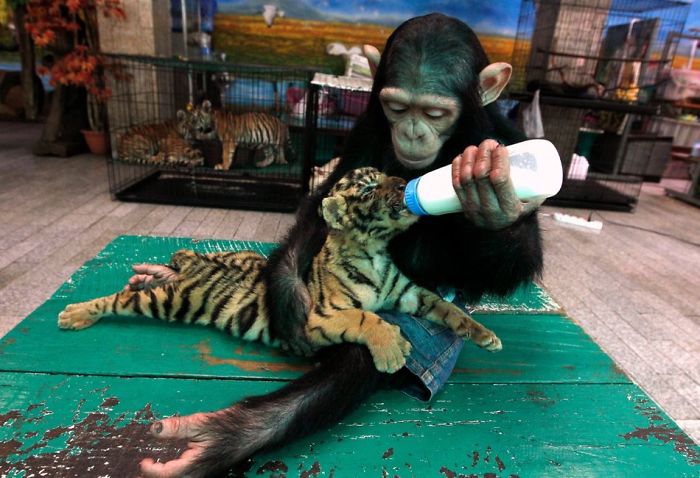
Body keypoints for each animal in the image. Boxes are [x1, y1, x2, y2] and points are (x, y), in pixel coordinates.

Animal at [57, 167, 501, 373]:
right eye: (369, 188)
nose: (405, 182)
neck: (375, 251)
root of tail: (195, 268)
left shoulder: (410, 293)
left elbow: (448, 309)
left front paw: (485, 336)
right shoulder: (317, 318)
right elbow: (365, 317)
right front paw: (392, 349)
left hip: (232, 262)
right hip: (170, 301)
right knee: (122, 298)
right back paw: (74, 313)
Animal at [136, 13, 544, 478]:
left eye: (435, 112)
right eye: (397, 107)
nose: (412, 131)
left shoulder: (497, 138)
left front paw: (496, 199)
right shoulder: (366, 130)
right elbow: (323, 204)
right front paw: (290, 298)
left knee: (356, 361)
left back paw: (227, 437)